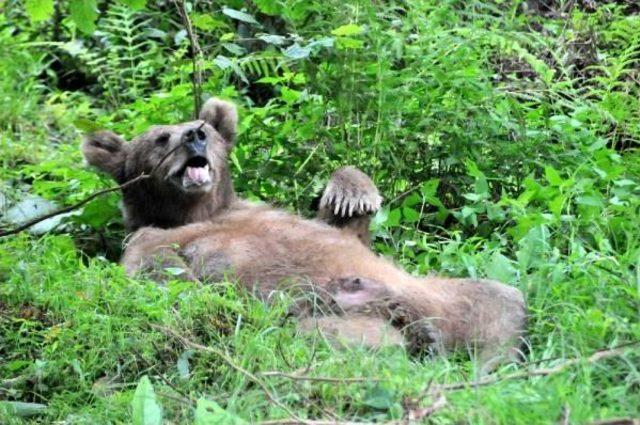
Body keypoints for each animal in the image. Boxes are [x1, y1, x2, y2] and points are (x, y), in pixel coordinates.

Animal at [84, 97, 524, 362]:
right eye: (161, 137)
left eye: (202, 126)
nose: (195, 135)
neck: (199, 212)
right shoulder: (147, 239)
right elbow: (158, 274)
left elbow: (344, 224)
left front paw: (351, 192)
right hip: (328, 325)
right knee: (327, 341)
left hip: (438, 295)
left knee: (500, 302)